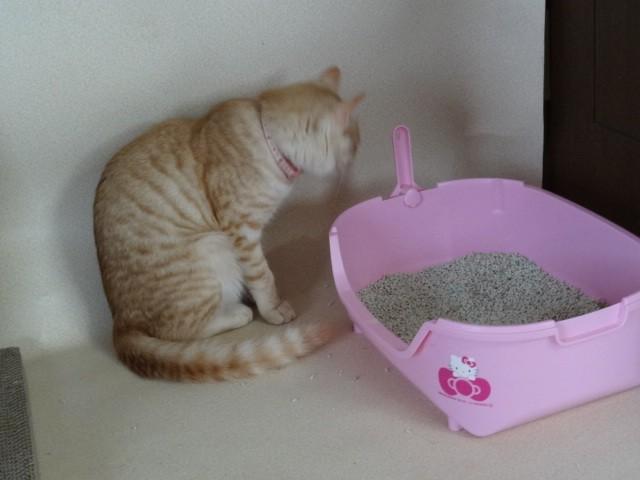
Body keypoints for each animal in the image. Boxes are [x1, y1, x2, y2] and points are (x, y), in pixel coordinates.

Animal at [93, 67, 363, 381]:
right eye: (354, 143)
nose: (357, 156)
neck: (267, 139)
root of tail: (119, 322)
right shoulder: (241, 232)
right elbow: (263, 276)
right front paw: (272, 309)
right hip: (212, 248)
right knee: (183, 330)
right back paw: (237, 312)